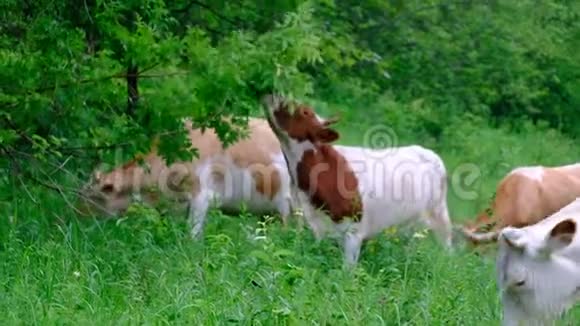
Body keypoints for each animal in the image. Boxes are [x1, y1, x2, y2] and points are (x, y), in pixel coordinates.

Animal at [260, 93, 454, 264]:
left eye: (305, 111)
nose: (275, 95)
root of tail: (427, 151)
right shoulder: (318, 228)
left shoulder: (353, 233)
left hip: (439, 216)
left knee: (446, 247)